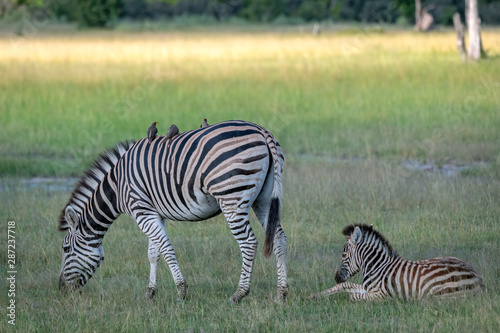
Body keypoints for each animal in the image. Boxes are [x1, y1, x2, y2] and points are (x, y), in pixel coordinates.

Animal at [56, 120, 288, 304]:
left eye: (66, 249)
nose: (61, 290)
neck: (117, 186)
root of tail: (261, 130)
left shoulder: (141, 211)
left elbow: (166, 250)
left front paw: (181, 291)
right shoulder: (154, 212)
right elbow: (153, 253)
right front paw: (150, 293)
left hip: (232, 197)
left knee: (249, 243)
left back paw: (239, 294)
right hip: (264, 199)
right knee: (279, 238)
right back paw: (281, 293)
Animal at [308, 224, 484, 300]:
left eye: (344, 254)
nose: (336, 277)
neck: (377, 267)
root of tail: (477, 275)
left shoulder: (382, 294)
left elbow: (353, 297)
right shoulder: (367, 288)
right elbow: (345, 286)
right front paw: (311, 296)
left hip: (435, 294)